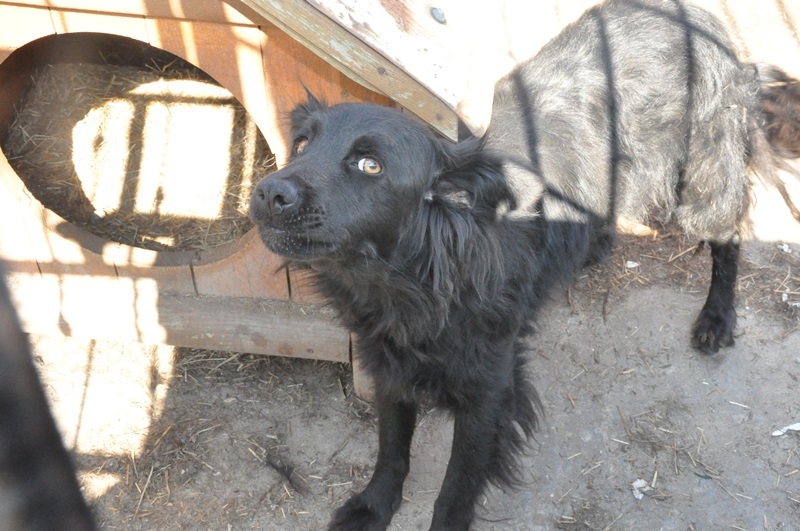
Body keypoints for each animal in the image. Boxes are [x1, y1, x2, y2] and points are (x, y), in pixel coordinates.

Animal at [249, 0, 800, 528]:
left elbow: (455, 487)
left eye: (370, 166)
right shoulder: (387, 362)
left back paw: (717, 318)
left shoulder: (490, 389)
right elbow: (391, 447)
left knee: (728, 237)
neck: (414, 281)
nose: (267, 192)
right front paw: (373, 507)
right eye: (302, 144)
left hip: (704, 179)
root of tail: (705, 19)